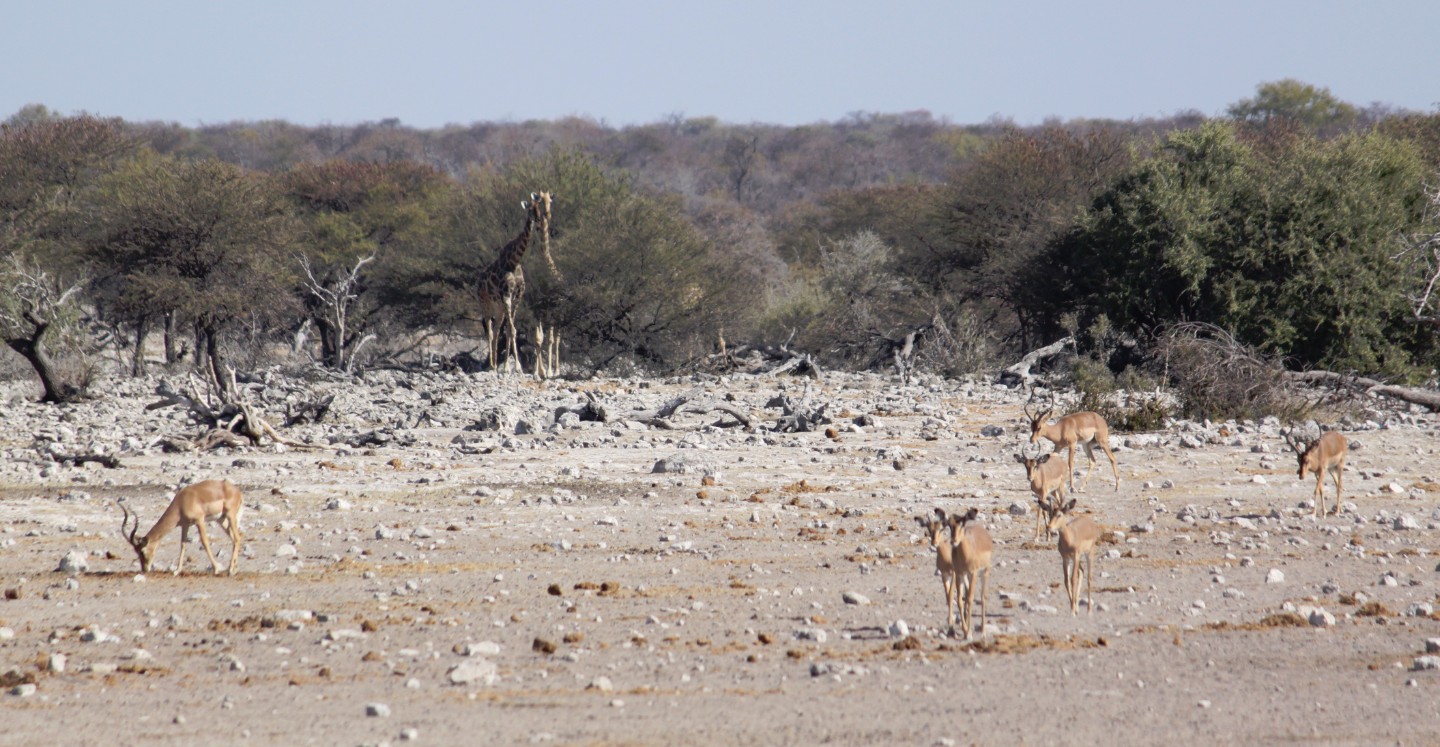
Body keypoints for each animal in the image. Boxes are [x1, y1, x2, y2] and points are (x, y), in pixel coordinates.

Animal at [475, 192, 558, 374]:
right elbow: (513, 330)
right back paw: (492, 365)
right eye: (531, 209)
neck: (514, 261)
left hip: (498, 308)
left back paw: (495, 365)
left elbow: (511, 330)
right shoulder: (507, 296)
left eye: (539, 207)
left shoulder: (517, 298)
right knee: (490, 330)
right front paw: (512, 367)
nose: (540, 219)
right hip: (485, 304)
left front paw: (514, 367)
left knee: (497, 330)